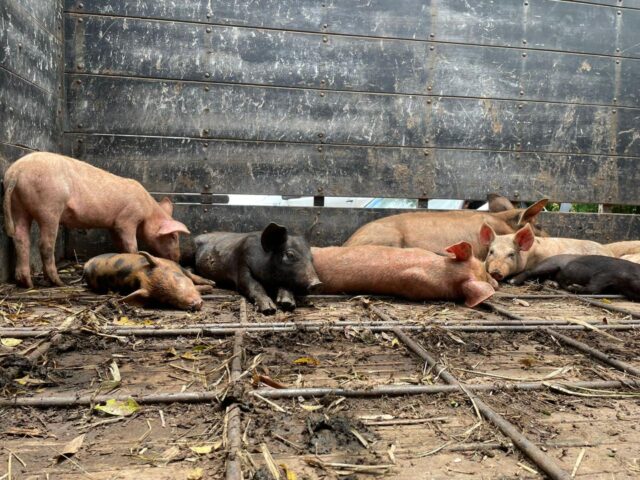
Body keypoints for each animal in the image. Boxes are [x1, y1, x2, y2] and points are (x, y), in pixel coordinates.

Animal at [3, 152, 191, 288]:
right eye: (173, 236)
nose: (178, 258)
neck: (148, 210)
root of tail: (16, 171)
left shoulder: (113, 226)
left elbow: (120, 245)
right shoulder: (127, 220)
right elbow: (131, 244)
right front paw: (135, 255)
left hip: (18, 207)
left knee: (21, 239)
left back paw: (26, 283)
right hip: (49, 206)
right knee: (45, 244)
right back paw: (59, 283)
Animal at [84, 251, 215, 311]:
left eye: (176, 278)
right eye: (165, 300)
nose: (195, 304)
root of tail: (86, 264)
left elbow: (192, 276)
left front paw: (212, 284)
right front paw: (210, 287)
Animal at [508, 254, 640, 301]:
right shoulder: (604, 274)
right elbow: (594, 288)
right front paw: (573, 287)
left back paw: (553, 285)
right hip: (550, 265)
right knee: (530, 271)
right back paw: (513, 281)